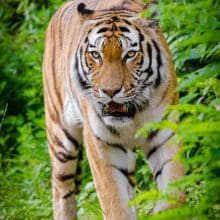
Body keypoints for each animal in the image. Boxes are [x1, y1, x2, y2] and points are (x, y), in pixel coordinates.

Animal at [42, 0, 185, 219]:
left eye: (130, 54)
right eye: (95, 55)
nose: (109, 91)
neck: (134, 115)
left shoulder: (165, 134)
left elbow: (174, 195)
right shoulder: (101, 144)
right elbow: (115, 203)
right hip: (61, 138)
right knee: (61, 188)